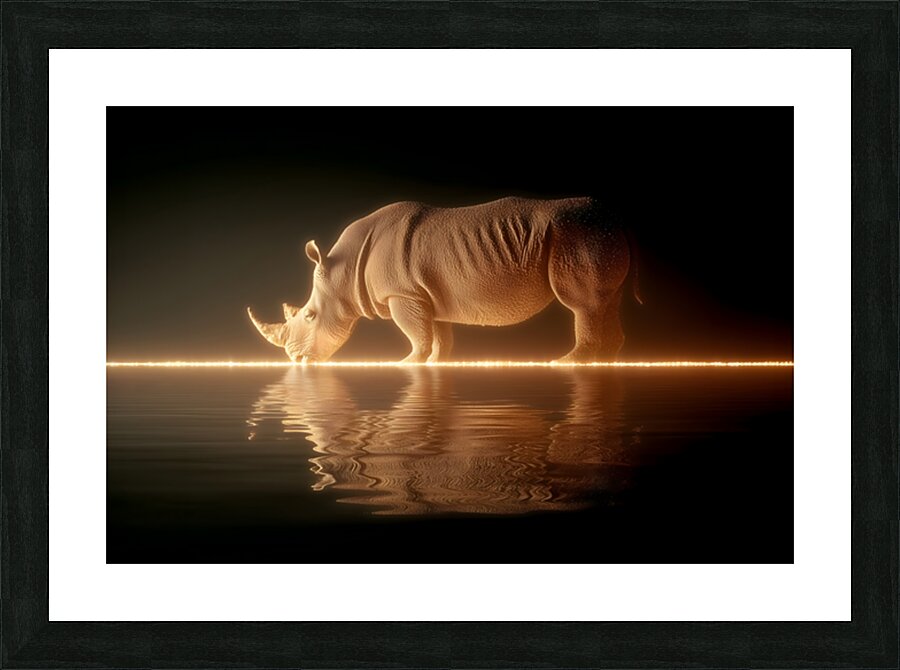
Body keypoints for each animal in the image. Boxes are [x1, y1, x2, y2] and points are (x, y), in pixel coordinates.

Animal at [248, 196, 639, 363]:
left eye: (310, 315)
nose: (296, 359)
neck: (344, 271)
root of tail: (615, 218)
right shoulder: (425, 294)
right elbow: (437, 334)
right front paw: (436, 363)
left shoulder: (402, 294)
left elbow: (416, 334)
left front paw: (406, 364)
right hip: (593, 234)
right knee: (607, 301)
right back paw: (605, 362)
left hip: (578, 235)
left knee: (582, 305)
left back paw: (567, 363)